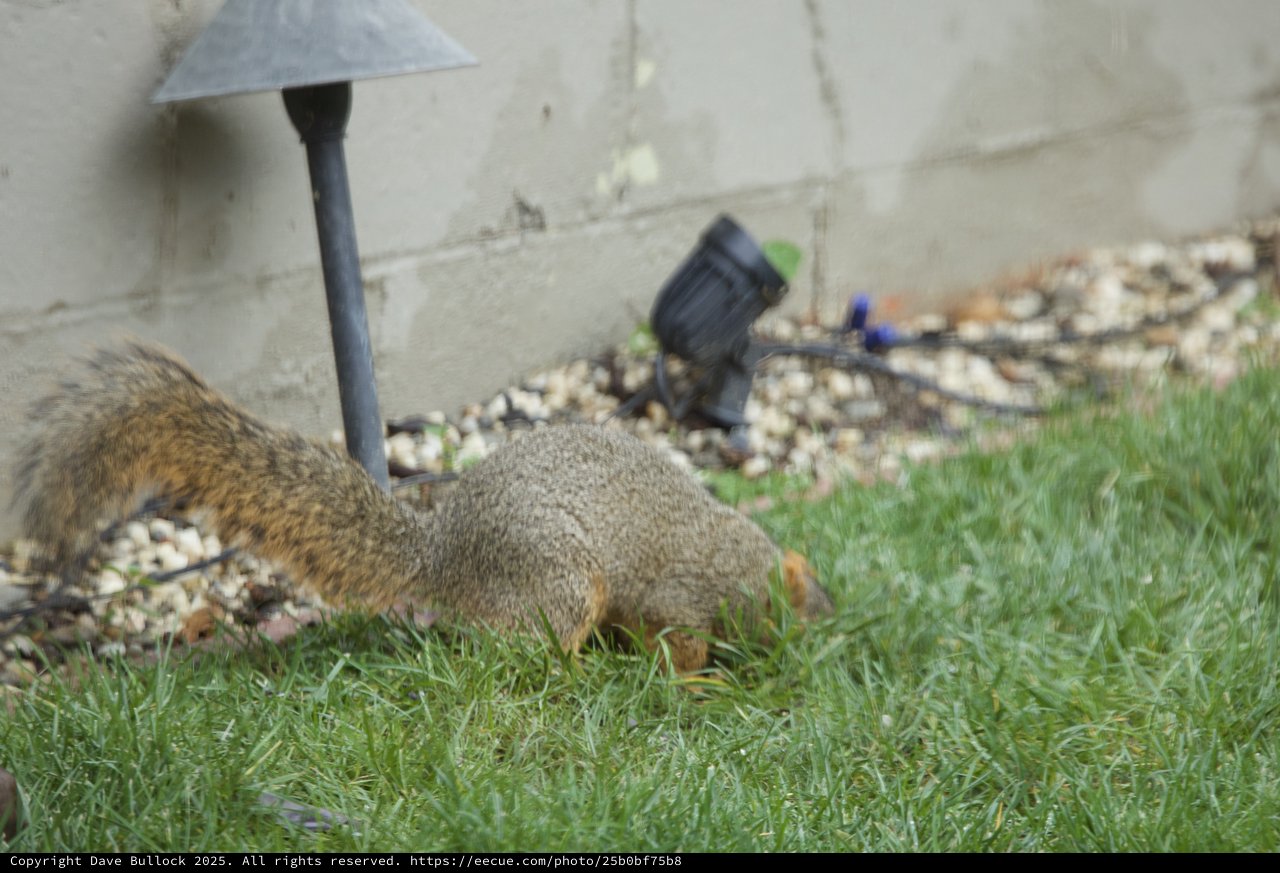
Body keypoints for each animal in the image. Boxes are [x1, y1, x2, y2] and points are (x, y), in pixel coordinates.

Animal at [14, 342, 832, 672]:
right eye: (804, 602)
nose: (814, 637)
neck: (744, 568)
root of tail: (444, 553)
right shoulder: (679, 600)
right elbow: (676, 648)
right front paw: (698, 685)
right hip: (560, 582)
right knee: (521, 647)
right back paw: (577, 676)